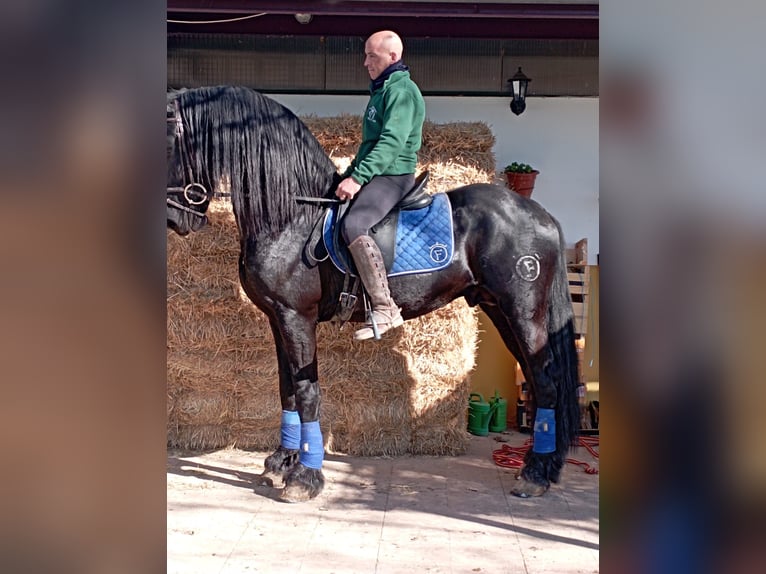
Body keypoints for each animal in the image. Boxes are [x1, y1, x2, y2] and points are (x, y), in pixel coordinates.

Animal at [168, 85, 584, 504]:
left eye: (170, 137)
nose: (175, 219)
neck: (292, 215)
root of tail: (538, 213)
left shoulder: (296, 318)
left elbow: (306, 392)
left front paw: (305, 476)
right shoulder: (277, 318)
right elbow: (286, 389)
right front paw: (281, 462)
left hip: (523, 312)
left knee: (546, 382)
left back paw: (534, 473)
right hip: (501, 310)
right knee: (538, 381)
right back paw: (544, 466)